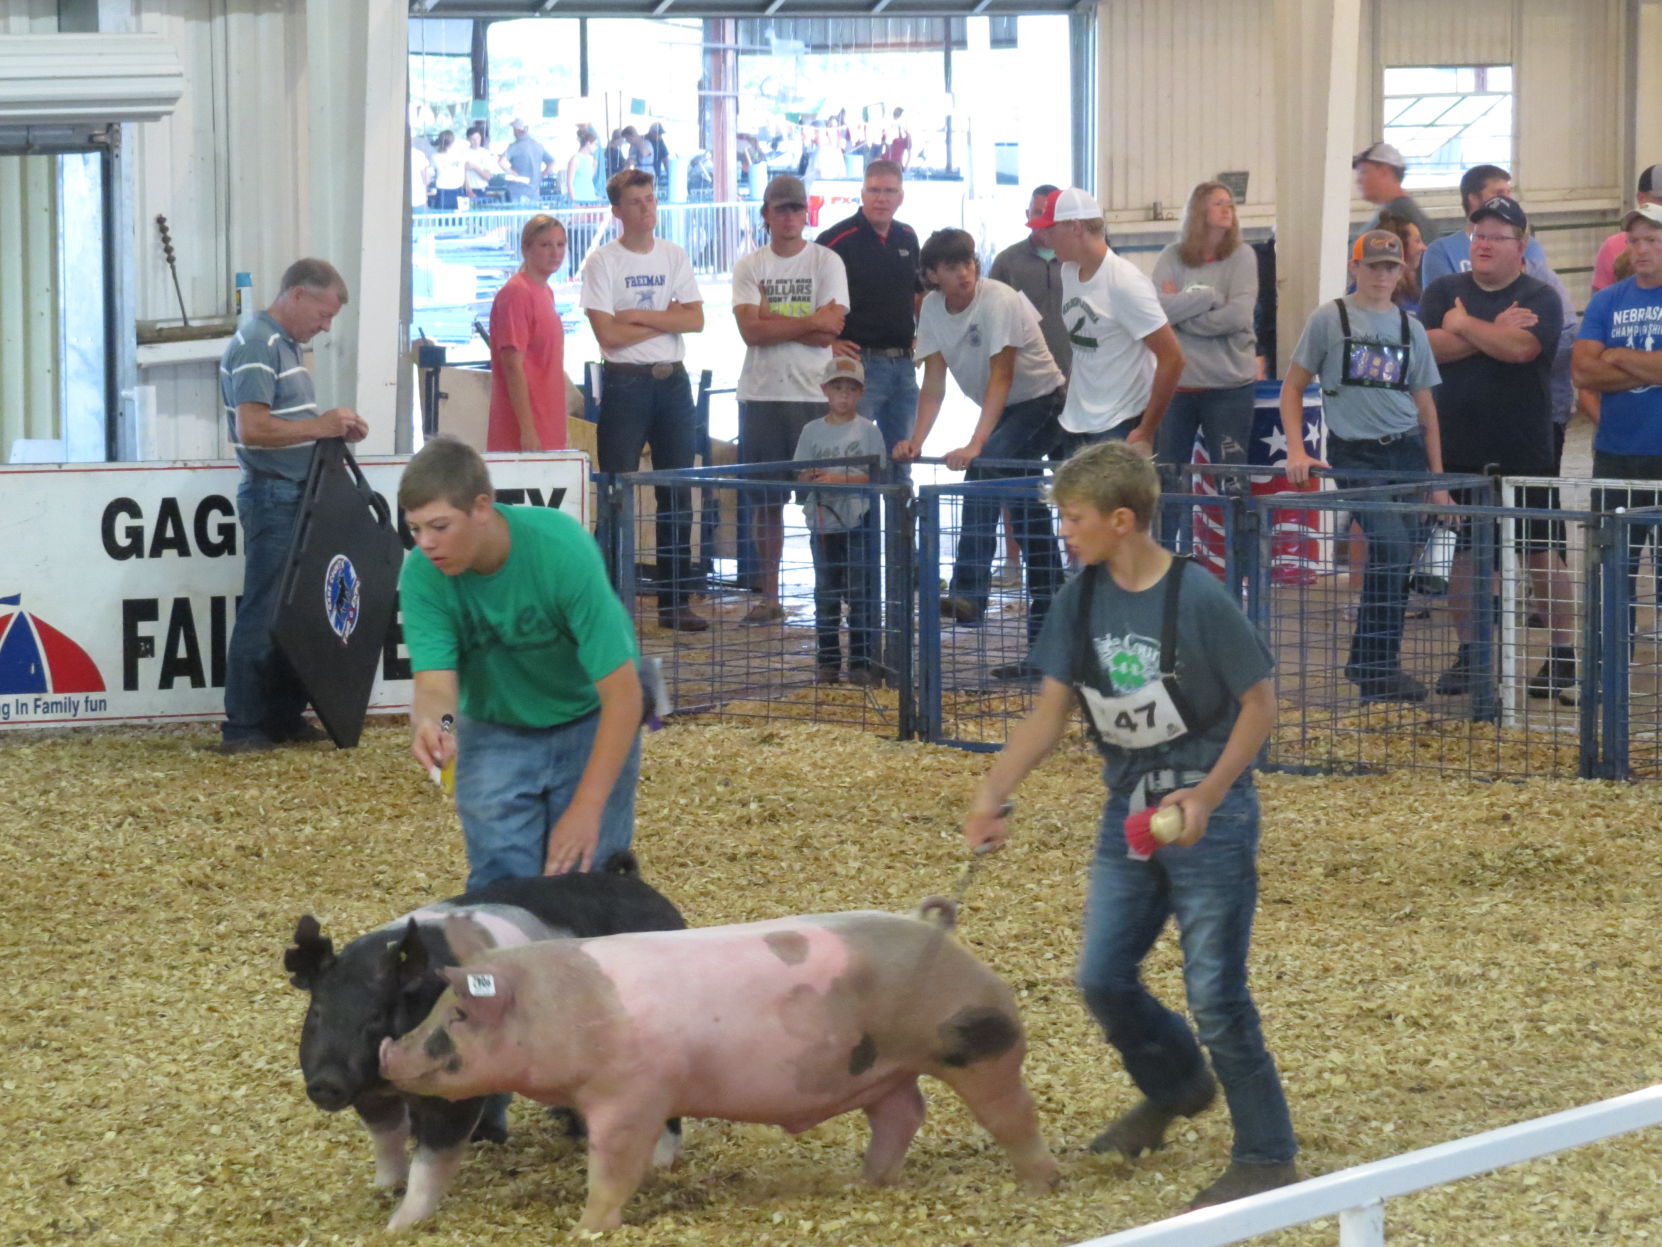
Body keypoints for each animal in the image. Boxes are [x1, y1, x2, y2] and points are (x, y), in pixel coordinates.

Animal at [380, 897, 1050, 1230]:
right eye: (436, 1010)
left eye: (458, 1016)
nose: (390, 1055)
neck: (566, 1009)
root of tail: (938, 933)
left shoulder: (633, 1095)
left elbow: (613, 1169)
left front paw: (585, 1230)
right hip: (884, 1069)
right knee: (904, 1112)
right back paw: (865, 1182)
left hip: (979, 1047)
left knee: (1012, 1114)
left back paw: (1042, 1184)